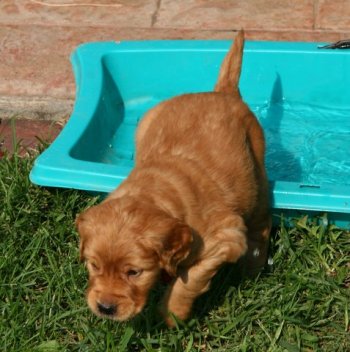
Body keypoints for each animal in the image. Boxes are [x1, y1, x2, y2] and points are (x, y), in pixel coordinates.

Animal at [76, 31, 270, 328]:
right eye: (94, 265)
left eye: (134, 272)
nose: (105, 308)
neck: (155, 191)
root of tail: (221, 92)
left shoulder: (226, 238)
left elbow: (188, 281)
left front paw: (172, 315)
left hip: (256, 169)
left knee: (262, 218)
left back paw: (254, 264)